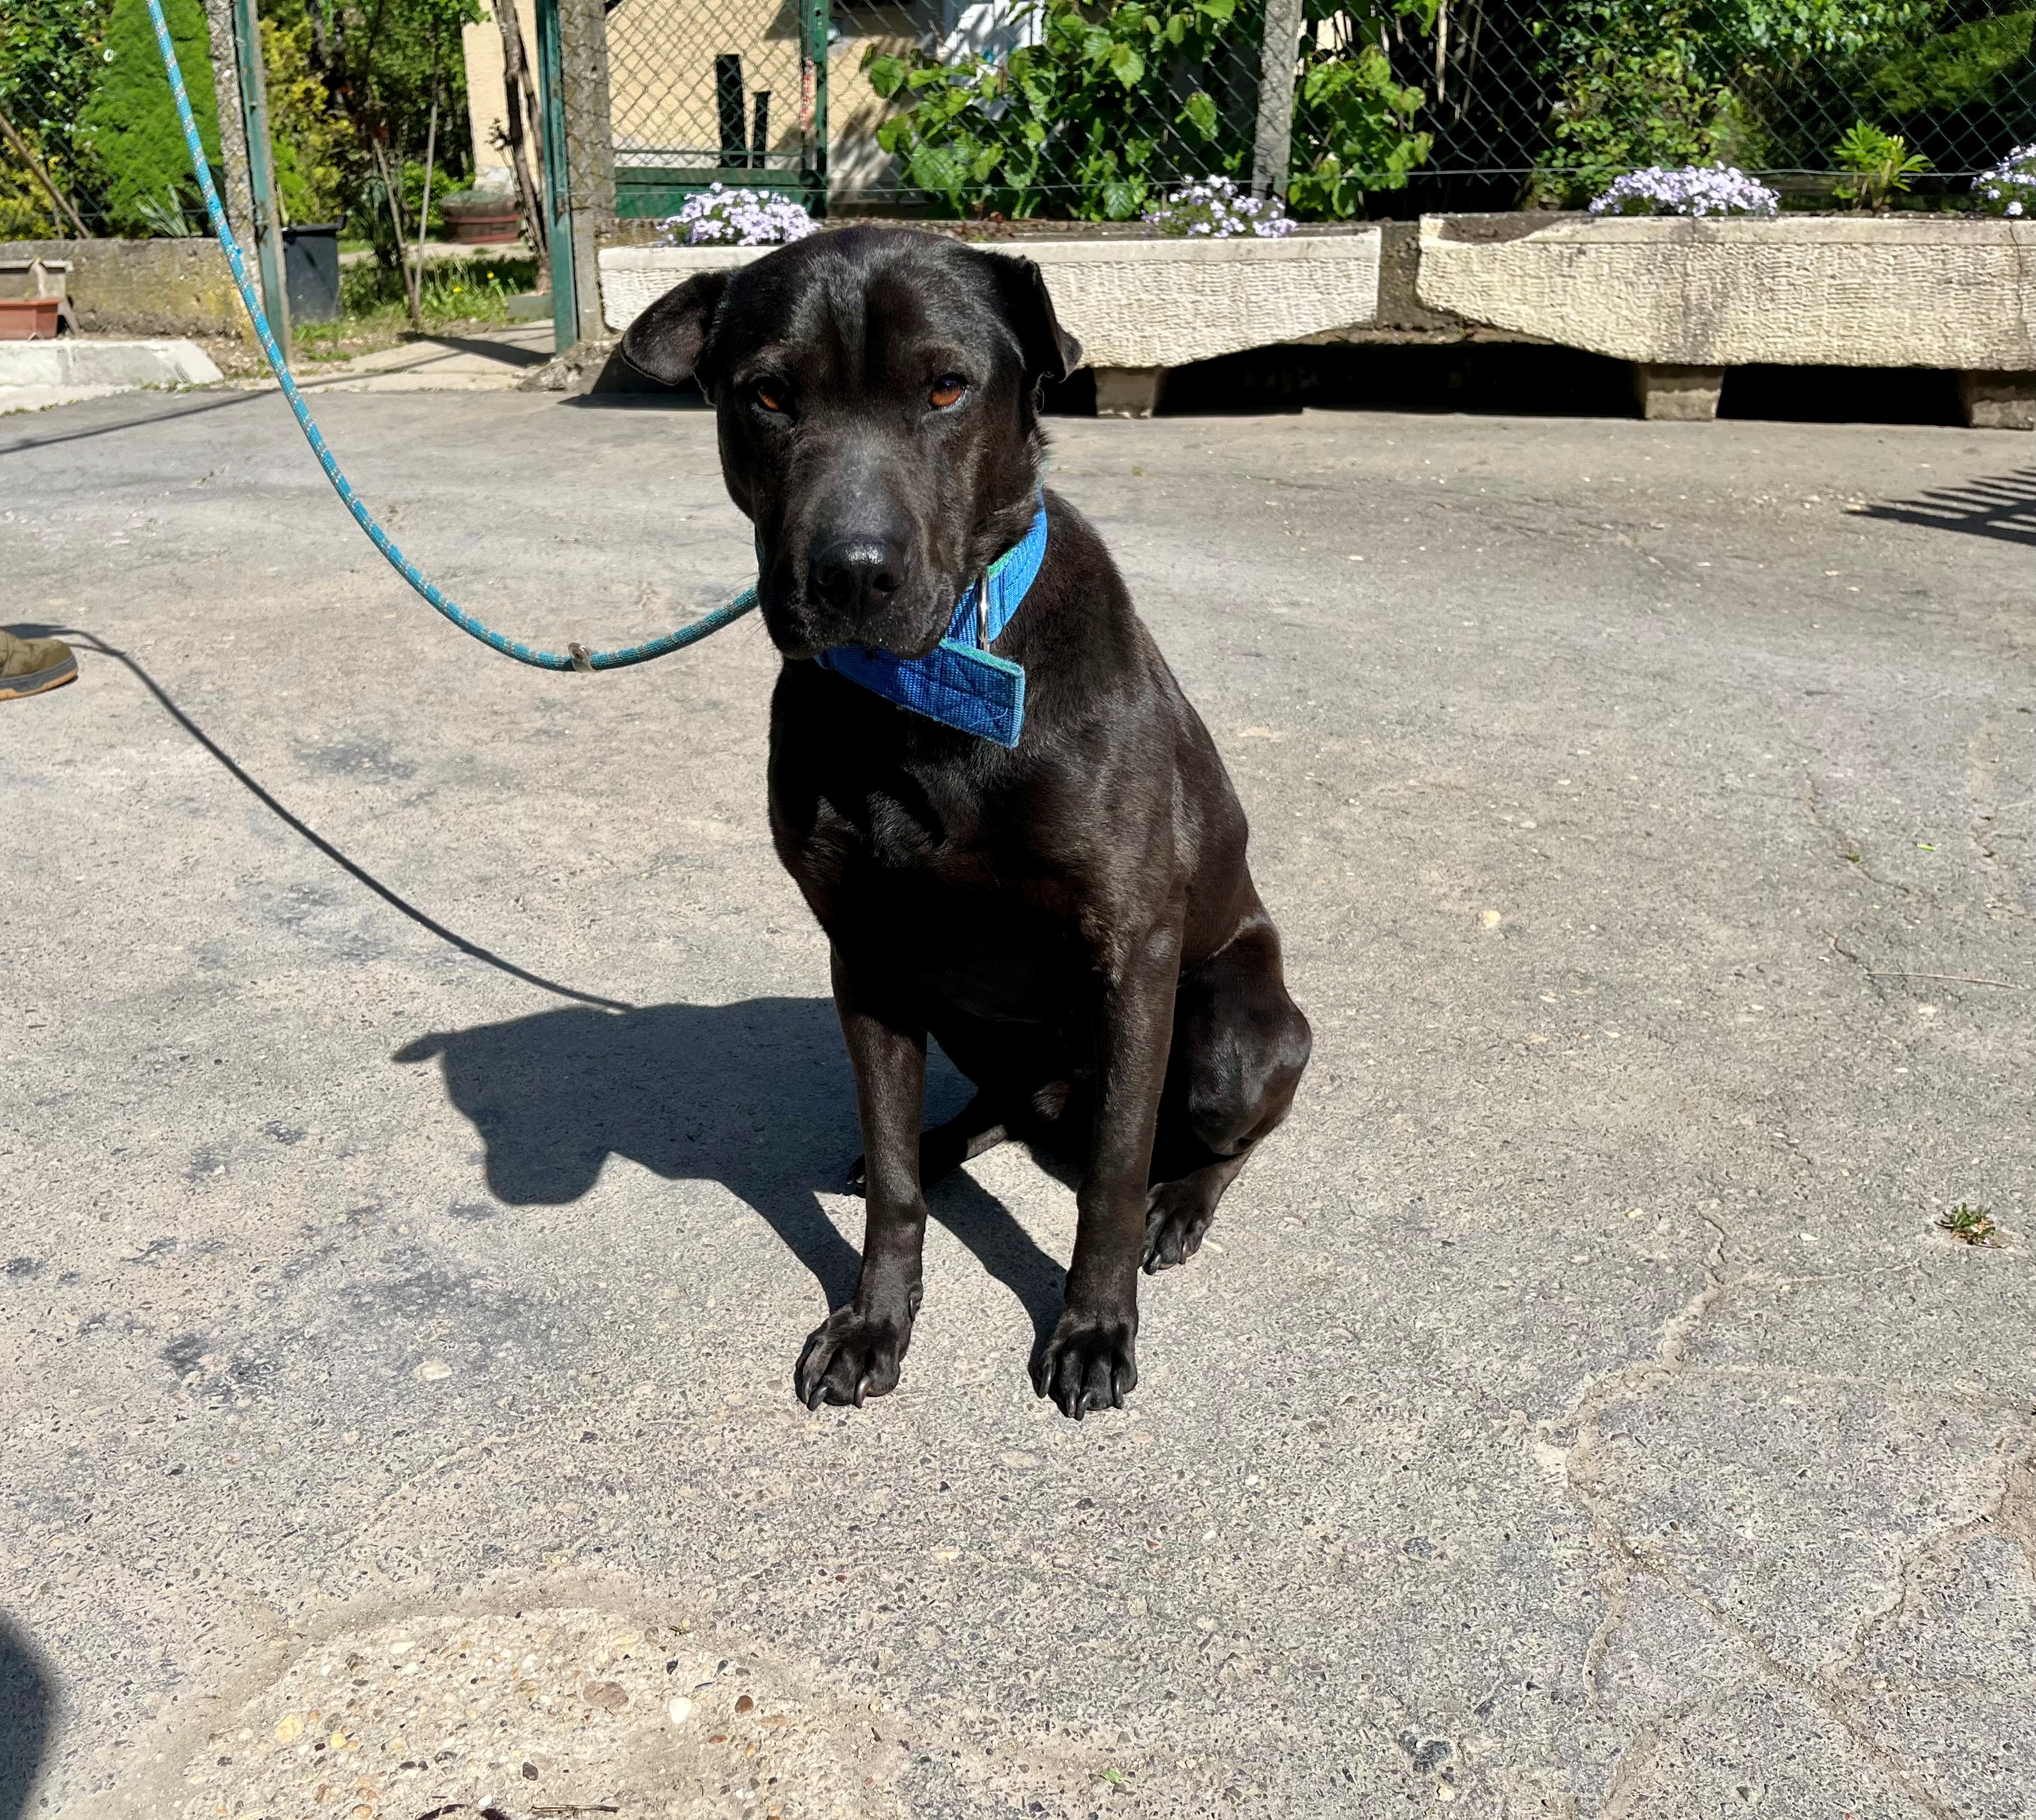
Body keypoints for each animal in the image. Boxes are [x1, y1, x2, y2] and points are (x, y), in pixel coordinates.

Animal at [621, 226, 1311, 1418]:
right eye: (769, 394)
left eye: (946, 387)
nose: (850, 574)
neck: (933, 688)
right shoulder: (867, 958)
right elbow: (896, 1183)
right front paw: (873, 1320)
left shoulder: (1134, 954)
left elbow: (1113, 1174)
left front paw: (1095, 1326)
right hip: (961, 1006)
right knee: (991, 1106)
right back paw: (946, 1138)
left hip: (1233, 1031)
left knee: (1210, 1134)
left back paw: (1182, 1202)